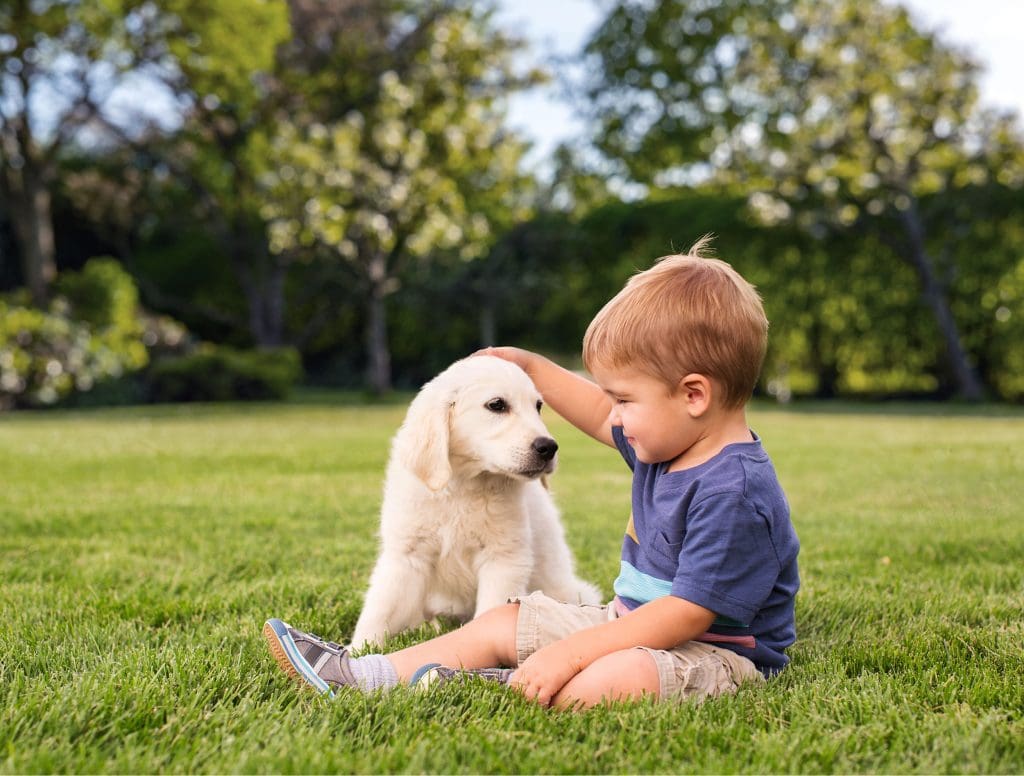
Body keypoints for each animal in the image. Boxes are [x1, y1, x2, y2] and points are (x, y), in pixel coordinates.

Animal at [354, 356, 598, 647]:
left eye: (538, 406)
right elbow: (379, 610)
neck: (464, 485)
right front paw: (358, 650)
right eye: (497, 405)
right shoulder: (406, 556)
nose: (548, 447)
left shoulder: (504, 558)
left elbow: (490, 611)